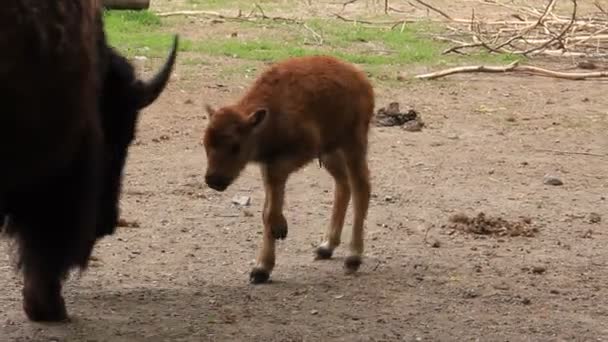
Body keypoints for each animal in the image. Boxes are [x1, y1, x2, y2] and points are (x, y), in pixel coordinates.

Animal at [204, 54, 372, 284]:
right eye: (205, 143)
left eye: (235, 146)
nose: (213, 180)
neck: (270, 116)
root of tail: (361, 79)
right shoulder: (268, 165)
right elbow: (268, 208)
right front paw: (261, 269)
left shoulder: (301, 151)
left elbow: (271, 201)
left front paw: (279, 229)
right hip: (331, 152)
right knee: (343, 185)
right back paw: (326, 247)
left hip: (352, 143)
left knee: (360, 188)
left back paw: (353, 258)